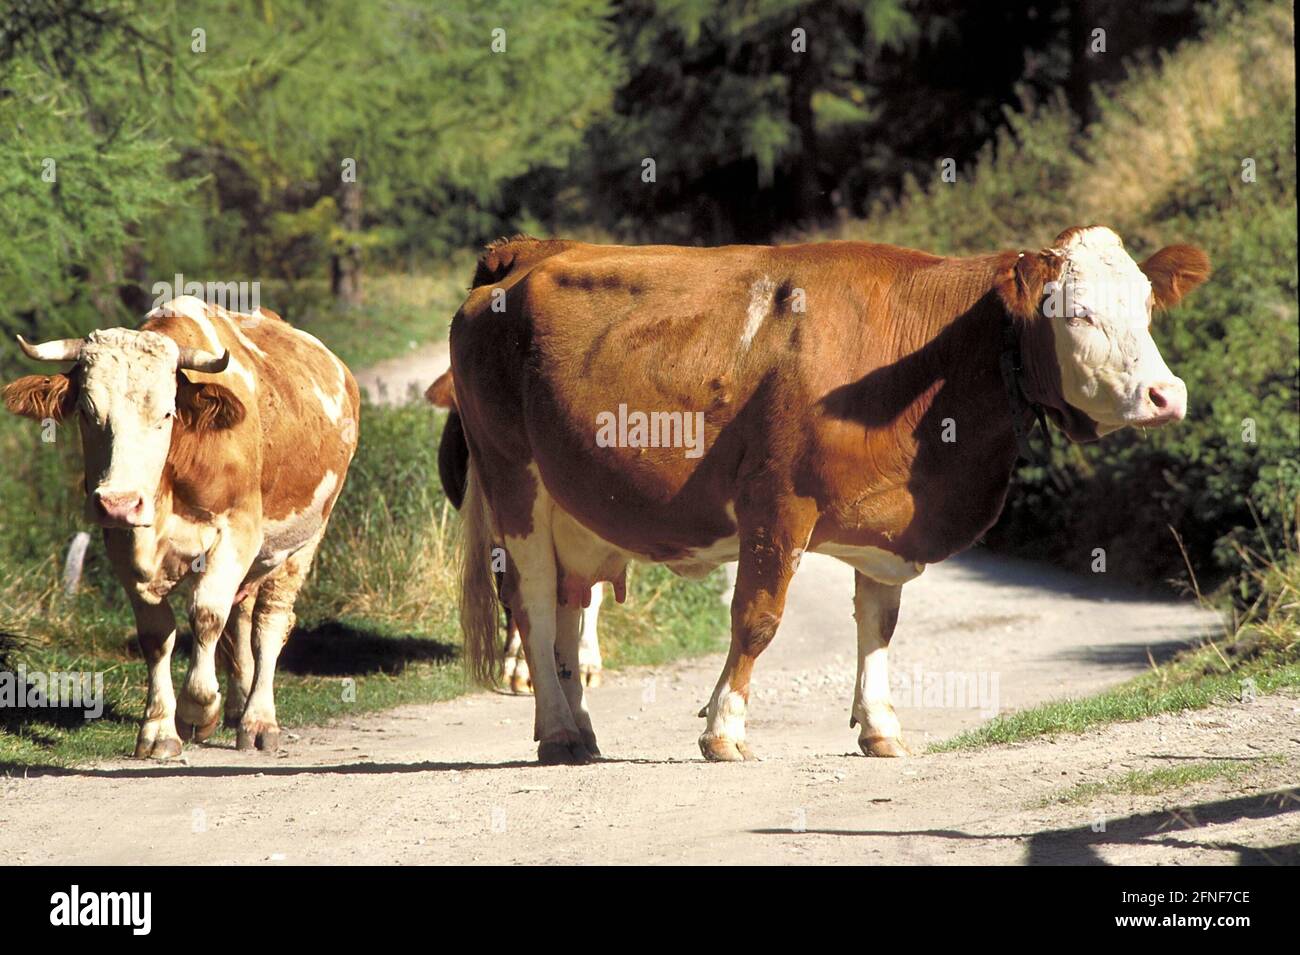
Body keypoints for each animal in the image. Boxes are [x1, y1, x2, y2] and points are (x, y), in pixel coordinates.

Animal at [3, 295, 360, 758]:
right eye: (86, 411)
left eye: (167, 412)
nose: (118, 502)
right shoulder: (121, 541)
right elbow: (157, 634)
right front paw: (159, 729)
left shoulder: (238, 532)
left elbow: (206, 615)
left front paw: (197, 710)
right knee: (242, 616)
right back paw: (237, 707)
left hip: (304, 541)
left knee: (268, 623)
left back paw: (258, 720)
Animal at [449, 227, 1210, 764]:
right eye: (1075, 313)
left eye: (1147, 306)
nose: (1168, 394)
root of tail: (527, 250)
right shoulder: (777, 502)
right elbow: (756, 619)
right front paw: (724, 728)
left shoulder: (888, 524)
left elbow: (878, 624)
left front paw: (880, 728)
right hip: (513, 480)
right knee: (534, 604)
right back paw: (556, 729)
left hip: (575, 508)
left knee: (570, 608)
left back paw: (580, 729)